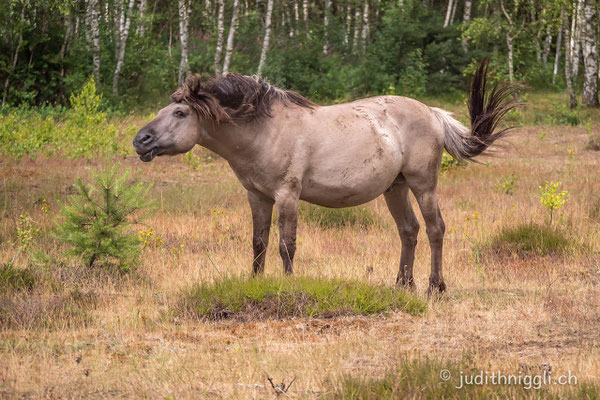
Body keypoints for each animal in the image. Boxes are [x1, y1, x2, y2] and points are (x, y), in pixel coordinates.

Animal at [134, 58, 516, 294]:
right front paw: (255, 282)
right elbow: (259, 242)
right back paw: (402, 284)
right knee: (409, 230)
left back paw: (434, 286)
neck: (265, 131)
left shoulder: (287, 195)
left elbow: (286, 245)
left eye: (180, 113)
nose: (141, 141)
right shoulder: (257, 196)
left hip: (423, 184)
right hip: (395, 188)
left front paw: (288, 285)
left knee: (436, 229)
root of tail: (434, 114)